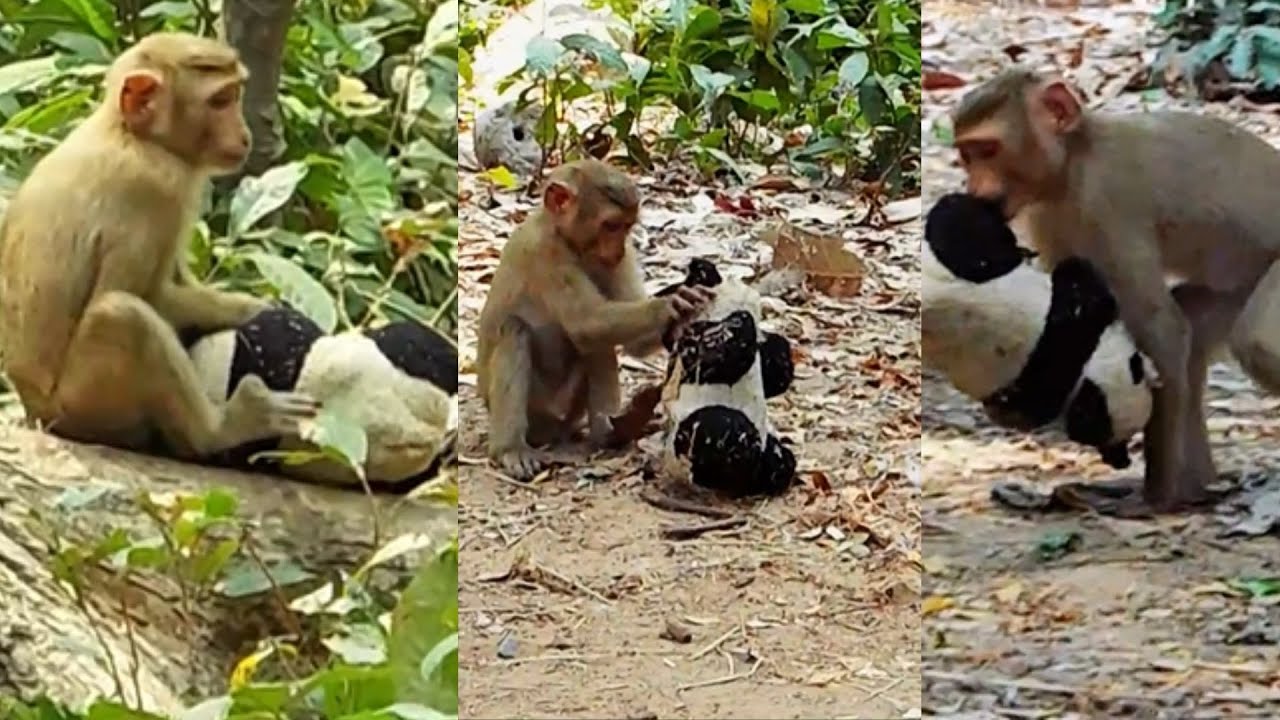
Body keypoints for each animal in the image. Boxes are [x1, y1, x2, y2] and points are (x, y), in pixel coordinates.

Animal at [0, 32, 317, 460]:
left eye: (234, 95)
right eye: (220, 100)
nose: (245, 135)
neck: (127, 131)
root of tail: (37, 412)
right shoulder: (158, 187)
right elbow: (142, 295)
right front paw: (255, 309)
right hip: (83, 407)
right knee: (122, 314)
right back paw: (220, 431)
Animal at [476, 159, 714, 480]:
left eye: (626, 227)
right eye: (610, 226)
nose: (618, 250)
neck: (567, 239)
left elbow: (631, 345)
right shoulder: (545, 250)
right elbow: (584, 324)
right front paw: (669, 305)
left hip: (569, 408)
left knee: (596, 347)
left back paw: (614, 432)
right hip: (539, 411)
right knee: (515, 330)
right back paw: (510, 448)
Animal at [950, 67, 1280, 516]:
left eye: (987, 149)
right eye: (967, 155)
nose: (971, 187)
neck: (1074, 162)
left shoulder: (1105, 201)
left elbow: (1161, 330)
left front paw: (1157, 498)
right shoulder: (1051, 217)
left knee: (1255, 342)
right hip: (1239, 283)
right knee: (1196, 332)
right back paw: (1200, 486)